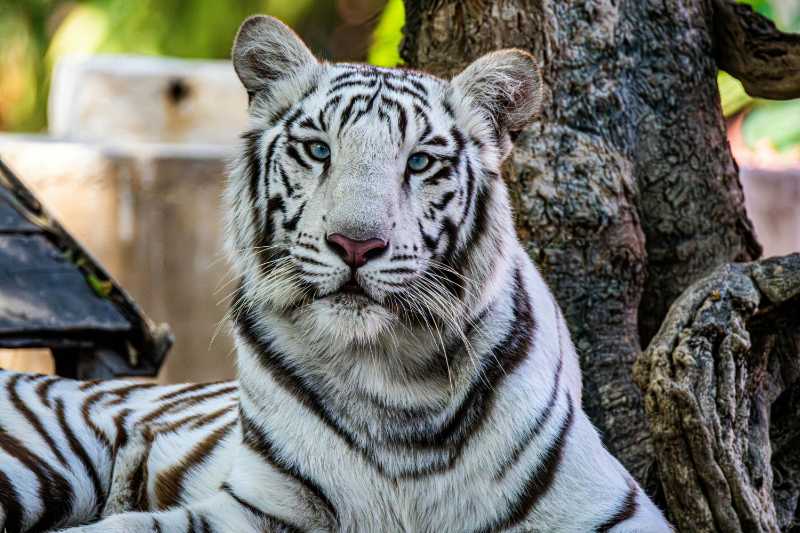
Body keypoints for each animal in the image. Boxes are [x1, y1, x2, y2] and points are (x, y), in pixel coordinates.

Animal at [0, 15, 672, 533]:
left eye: (419, 162)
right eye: (319, 150)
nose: (355, 244)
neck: (395, 382)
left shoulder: (607, 508)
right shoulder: (258, 508)